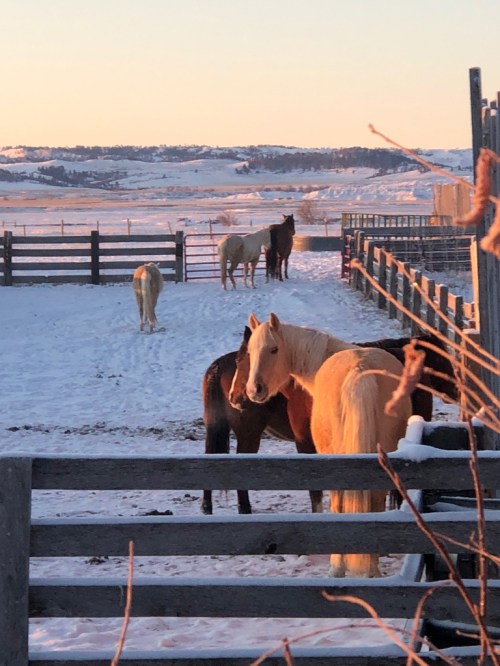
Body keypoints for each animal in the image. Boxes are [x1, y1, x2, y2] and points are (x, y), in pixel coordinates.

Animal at [245, 312, 412, 578]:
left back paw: (339, 567)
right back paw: (372, 570)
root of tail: (361, 370)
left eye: (274, 349)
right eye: (250, 351)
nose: (254, 390)